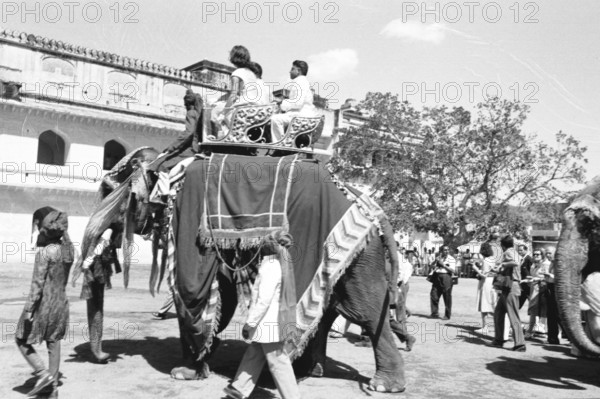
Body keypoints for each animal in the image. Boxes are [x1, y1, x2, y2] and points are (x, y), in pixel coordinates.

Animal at [78, 148, 408, 394]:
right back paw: (310, 370)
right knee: (330, 312)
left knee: (362, 310)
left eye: (108, 191)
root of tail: (368, 204)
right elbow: (222, 296)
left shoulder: (189, 222)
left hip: (362, 255)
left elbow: (194, 291)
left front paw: (183, 373)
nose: (106, 359)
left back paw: (383, 385)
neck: (170, 166)